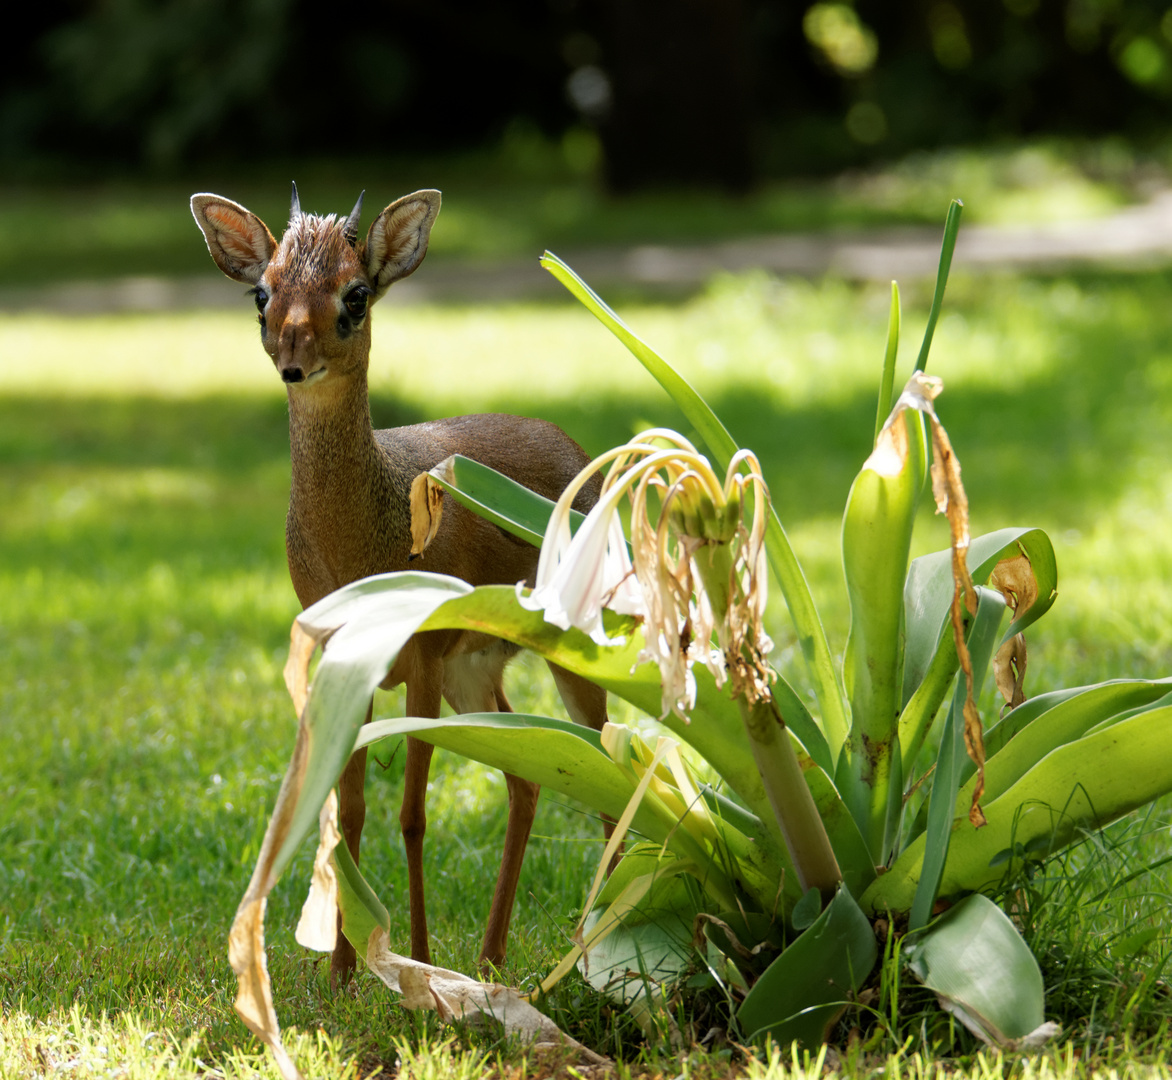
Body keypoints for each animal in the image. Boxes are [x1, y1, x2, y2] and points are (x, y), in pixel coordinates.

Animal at [189, 185, 604, 974]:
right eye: (262, 293)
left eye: (355, 294)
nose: (293, 361)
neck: (362, 547)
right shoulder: (342, 652)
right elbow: (349, 809)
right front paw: (343, 973)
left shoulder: (424, 652)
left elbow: (412, 814)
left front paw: (414, 956)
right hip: (480, 664)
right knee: (528, 775)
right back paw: (493, 957)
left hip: (572, 640)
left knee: (612, 756)